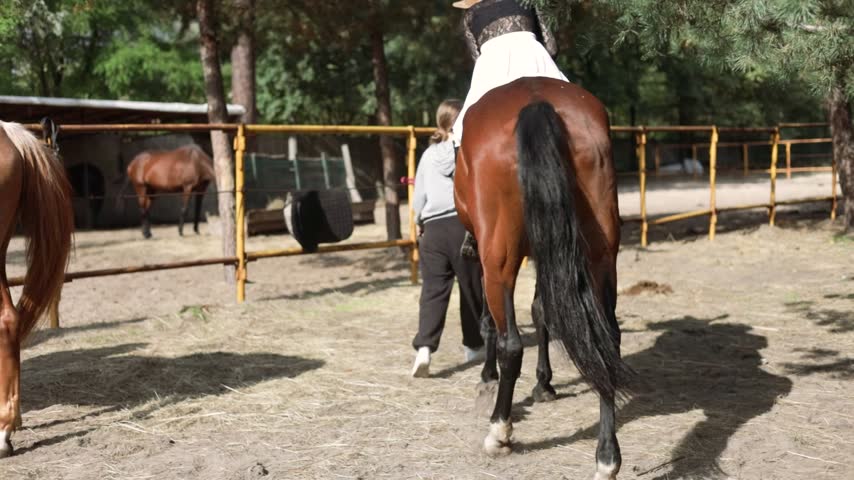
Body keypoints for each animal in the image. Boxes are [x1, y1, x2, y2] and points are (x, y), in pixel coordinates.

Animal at [454, 77, 633, 479]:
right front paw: (544, 383)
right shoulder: (548, 250)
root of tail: (535, 101)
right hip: (600, 255)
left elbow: (494, 325)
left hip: (499, 260)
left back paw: (499, 430)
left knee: (511, 344)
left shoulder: (488, 259)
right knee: (607, 339)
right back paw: (607, 456)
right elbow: (543, 311)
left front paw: (488, 378)